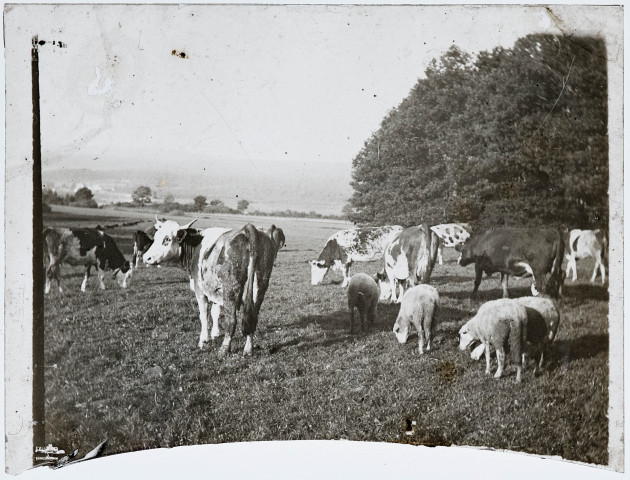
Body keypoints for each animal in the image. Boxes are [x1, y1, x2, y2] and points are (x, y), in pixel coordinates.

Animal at [144, 219, 286, 354]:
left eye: (167, 239)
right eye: (155, 237)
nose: (146, 257)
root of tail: (249, 229)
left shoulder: (200, 290)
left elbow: (204, 314)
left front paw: (203, 340)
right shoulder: (216, 290)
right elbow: (215, 312)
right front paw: (215, 333)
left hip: (231, 289)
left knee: (231, 320)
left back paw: (224, 348)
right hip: (260, 285)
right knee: (252, 317)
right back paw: (248, 348)